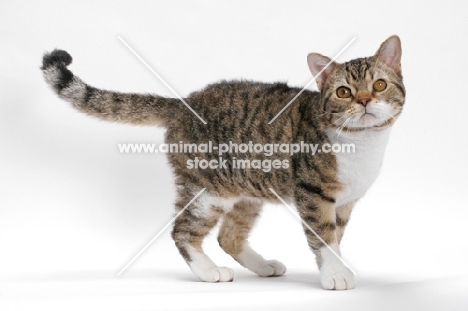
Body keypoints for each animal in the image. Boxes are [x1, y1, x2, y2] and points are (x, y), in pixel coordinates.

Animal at [42, 35, 404, 292]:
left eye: (379, 85)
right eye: (343, 92)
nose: (364, 100)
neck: (362, 144)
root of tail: (185, 103)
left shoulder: (344, 203)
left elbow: (336, 238)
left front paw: (339, 266)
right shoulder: (312, 195)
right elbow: (323, 238)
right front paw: (335, 274)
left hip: (247, 192)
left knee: (228, 237)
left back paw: (263, 266)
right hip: (207, 192)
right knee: (182, 231)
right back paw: (208, 270)